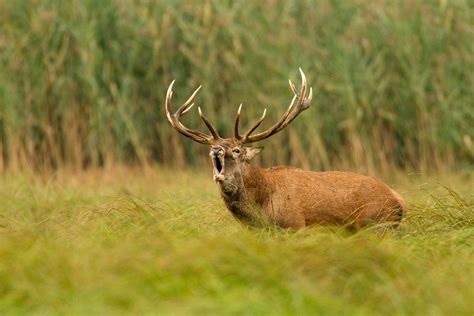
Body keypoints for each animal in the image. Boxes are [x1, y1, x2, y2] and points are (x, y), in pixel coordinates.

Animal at [165, 69, 406, 231]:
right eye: (211, 149)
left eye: (237, 150)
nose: (216, 149)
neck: (262, 207)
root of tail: (400, 202)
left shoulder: (295, 225)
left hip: (376, 224)